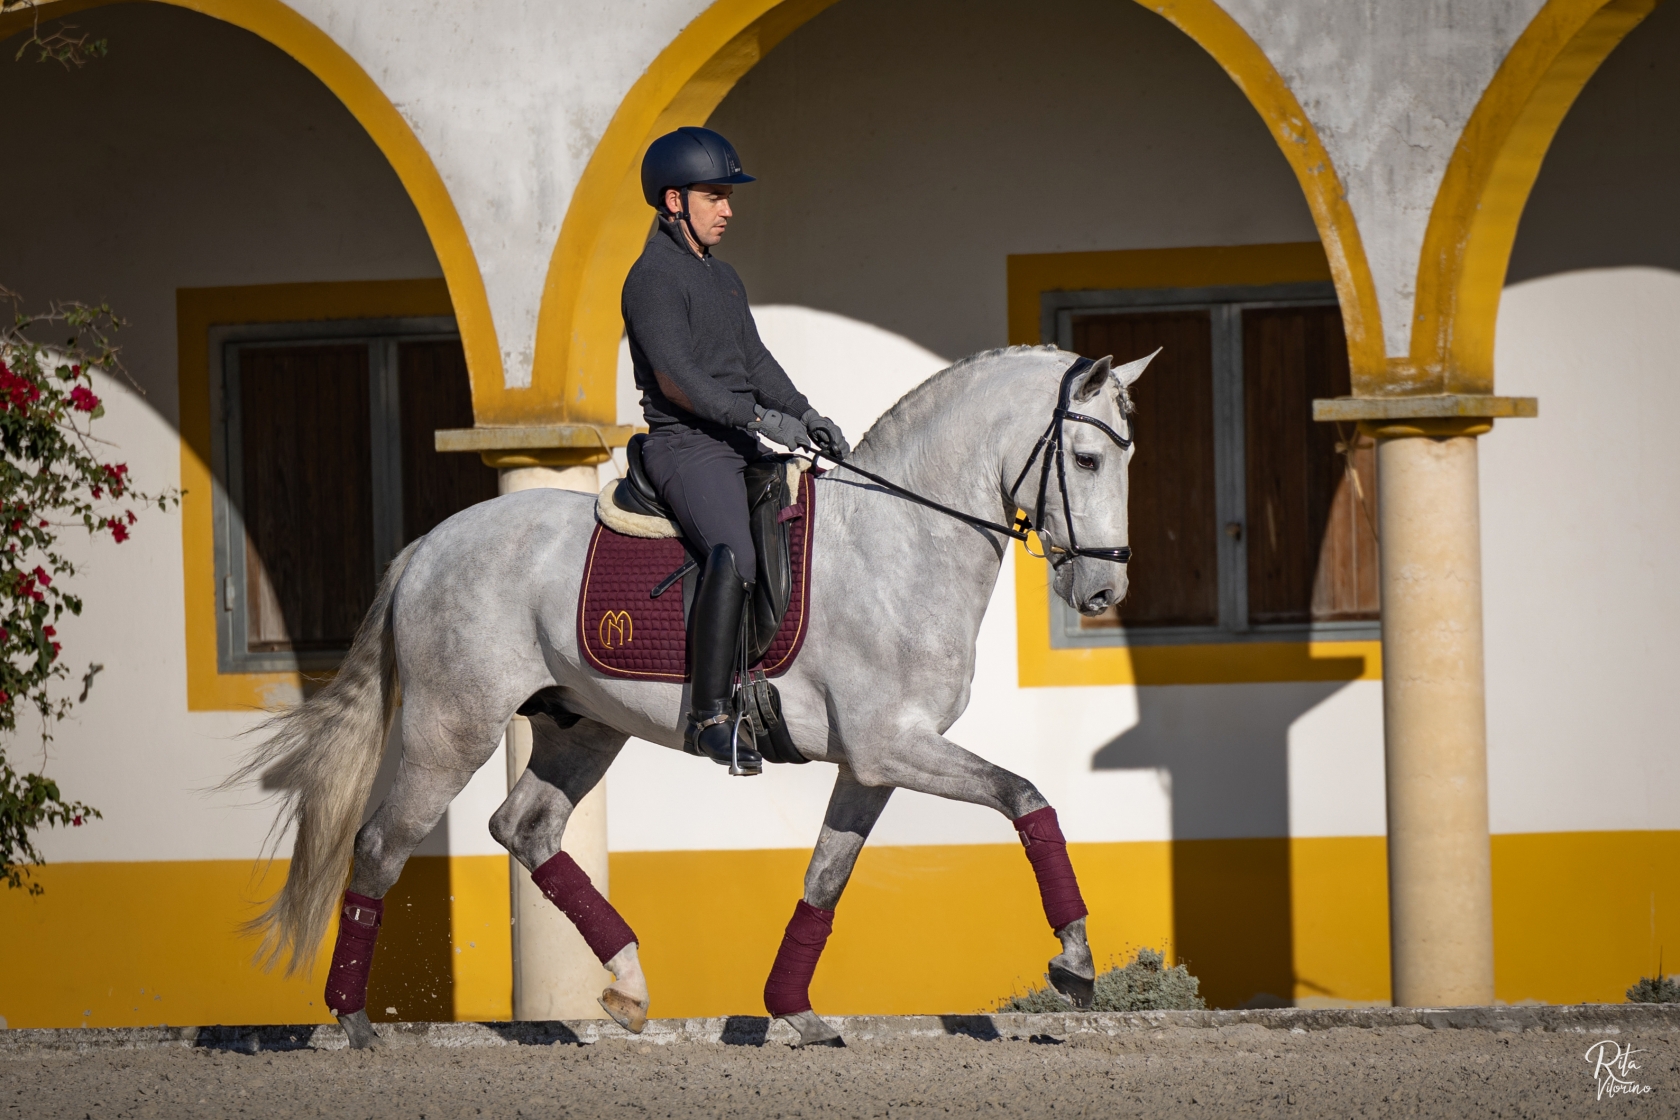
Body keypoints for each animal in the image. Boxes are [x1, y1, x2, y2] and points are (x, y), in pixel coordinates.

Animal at [234, 343, 1152, 1049]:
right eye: (1087, 460)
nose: (1106, 592)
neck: (899, 541)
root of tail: (426, 545)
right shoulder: (894, 744)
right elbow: (1027, 798)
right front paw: (1074, 961)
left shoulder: (874, 761)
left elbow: (825, 880)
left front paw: (794, 1011)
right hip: (450, 730)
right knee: (381, 846)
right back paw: (351, 1021)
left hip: (582, 728)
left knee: (525, 829)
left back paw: (629, 986)